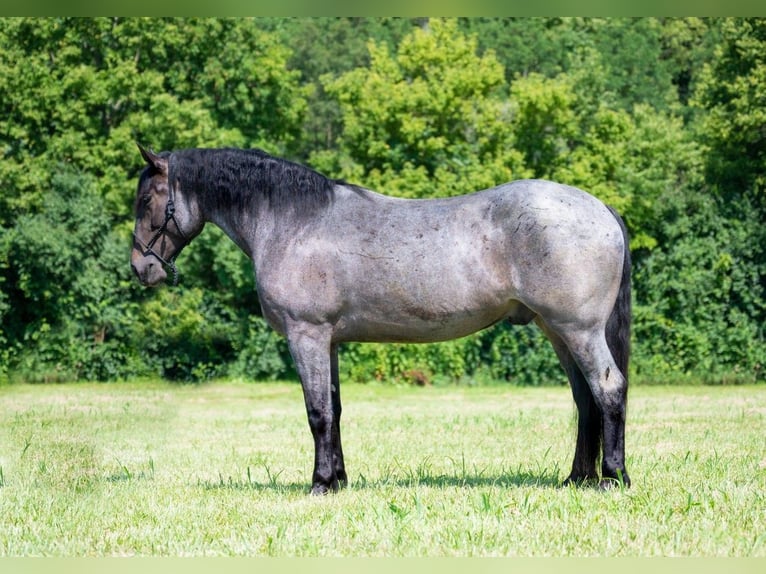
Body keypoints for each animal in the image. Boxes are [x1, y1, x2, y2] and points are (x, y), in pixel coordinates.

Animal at [132, 145, 632, 496]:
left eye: (147, 199)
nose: (141, 268)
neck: (293, 223)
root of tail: (601, 209)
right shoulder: (329, 341)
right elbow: (334, 409)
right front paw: (338, 479)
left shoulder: (307, 335)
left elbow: (316, 412)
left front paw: (319, 484)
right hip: (558, 331)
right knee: (585, 400)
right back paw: (577, 479)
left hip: (578, 330)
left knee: (608, 389)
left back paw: (613, 478)